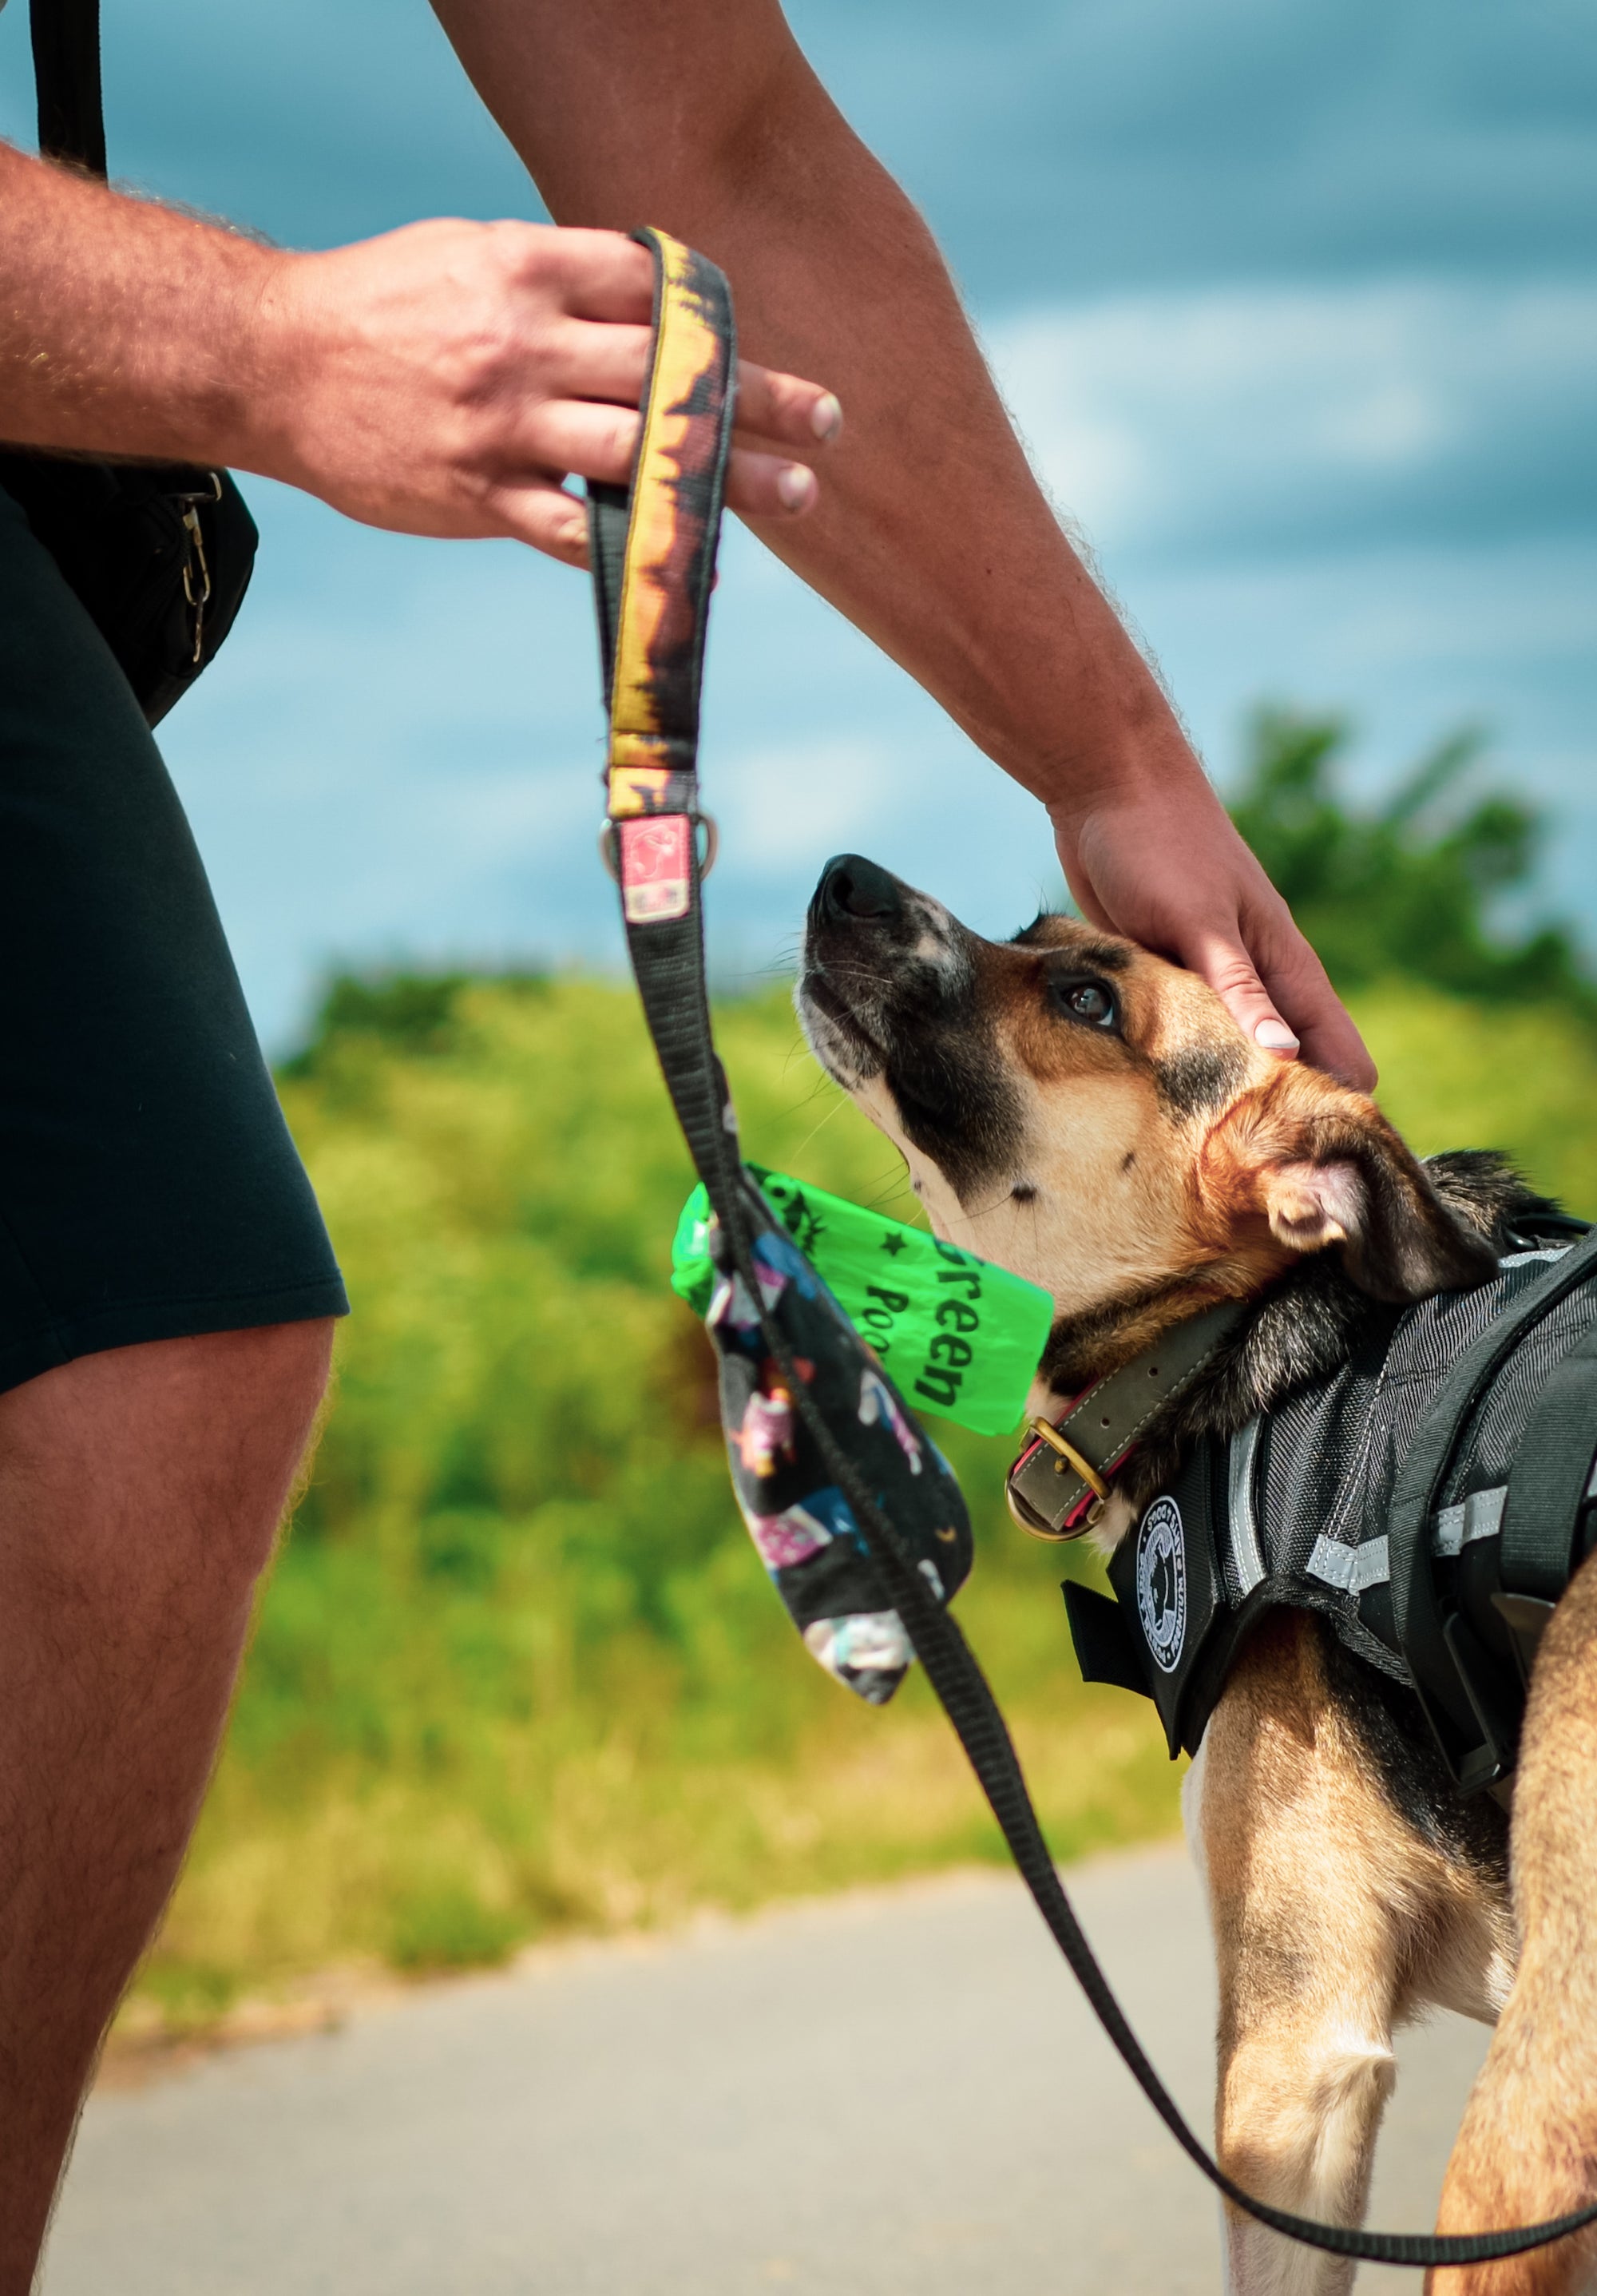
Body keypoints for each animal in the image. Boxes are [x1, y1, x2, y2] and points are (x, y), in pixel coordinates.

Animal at [802, 854, 1597, 2296]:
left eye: (1086, 999)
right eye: (1038, 928)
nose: (845, 878)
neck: (1224, 1328)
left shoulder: (1293, 2057)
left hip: (1524, 2122)